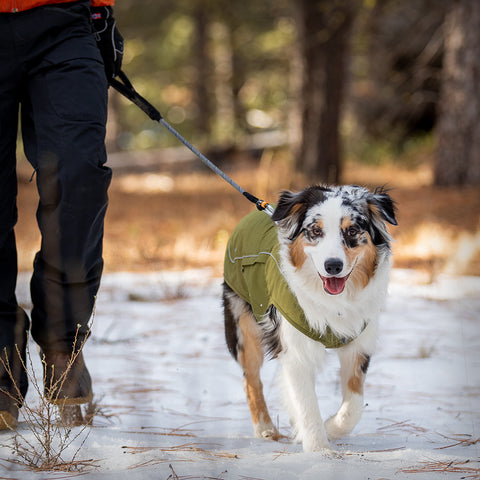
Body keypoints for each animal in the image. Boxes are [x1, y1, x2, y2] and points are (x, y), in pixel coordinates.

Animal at [223, 184, 396, 450]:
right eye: (315, 231)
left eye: (352, 230)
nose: (333, 266)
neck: (335, 301)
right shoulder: (296, 348)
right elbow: (307, 406)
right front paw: (319, 451)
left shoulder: (359, 343)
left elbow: (354, 405)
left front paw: (331, 428)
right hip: (244, 325)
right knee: (251, 378)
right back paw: (265, 428)